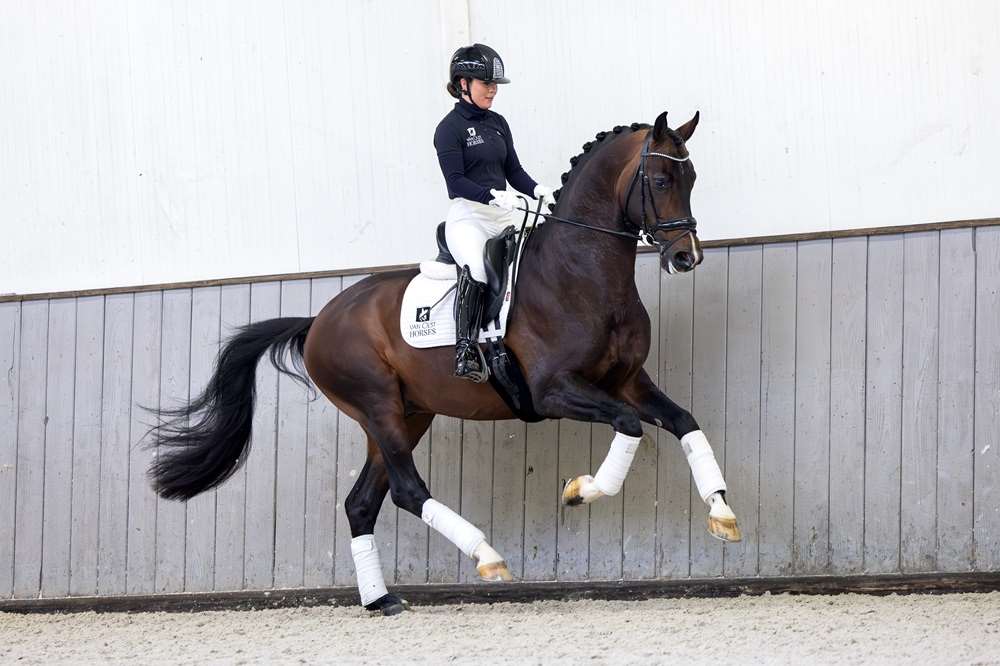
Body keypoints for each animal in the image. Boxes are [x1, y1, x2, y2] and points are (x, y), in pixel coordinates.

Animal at [148, 110, 742, 616]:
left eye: (691, 178)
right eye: (659, 181)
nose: (686, 256)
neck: (581, 273)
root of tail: (319, 320)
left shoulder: (629, 381)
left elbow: (683, 422)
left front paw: (722, 514)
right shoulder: (554, 391)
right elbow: (629, 425)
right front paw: (581, 490)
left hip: (407, 416)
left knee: (362, 503)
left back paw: (381, 601)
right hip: (379, 409)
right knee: (408, 491)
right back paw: (487, 558)